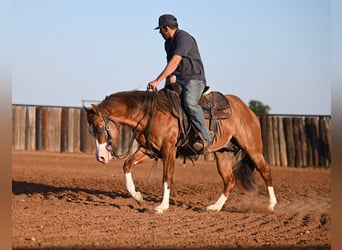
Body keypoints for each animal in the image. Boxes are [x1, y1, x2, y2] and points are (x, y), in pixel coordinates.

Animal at [84, 86, 276, 213]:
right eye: (90, 130)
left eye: (100, 128)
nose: (101, 157)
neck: (149, 113)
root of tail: (247, 110)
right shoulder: (149, 150)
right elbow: (127, 164)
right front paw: (137, 196)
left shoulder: (168, 150)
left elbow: (167, 177)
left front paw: (162, 206)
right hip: (223, 155)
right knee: (229, 180)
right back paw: (215, 207)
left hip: (253, 148)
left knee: (266, 172)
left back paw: (271, 205)